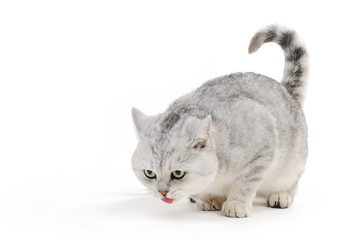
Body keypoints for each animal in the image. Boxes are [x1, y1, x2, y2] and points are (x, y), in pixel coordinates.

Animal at [131, 24, 306, 218]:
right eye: (149, 173)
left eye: (178, 173)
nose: (162, 192)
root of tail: (286, 91)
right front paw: (209, 198)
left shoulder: (262, 151)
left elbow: (245, 183)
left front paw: (237, 203)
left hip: (292, 167)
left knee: (290, 184)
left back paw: (281, 195)